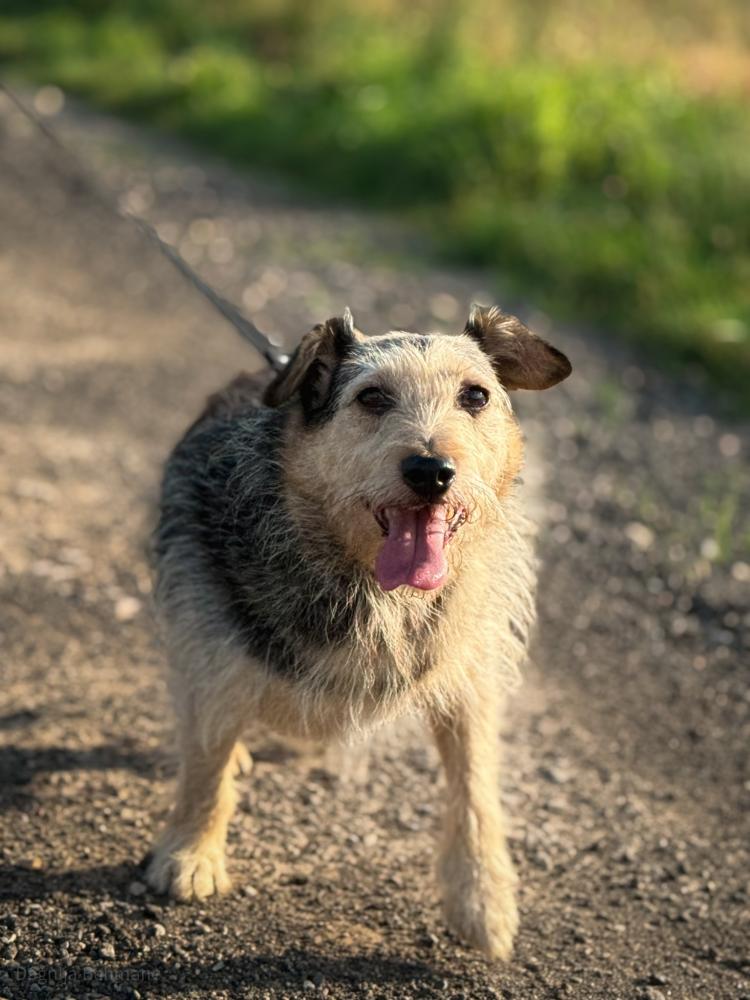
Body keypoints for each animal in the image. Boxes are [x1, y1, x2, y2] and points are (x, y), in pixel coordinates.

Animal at [145, 304, 571, 960]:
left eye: (475, 396)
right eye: (371, 397)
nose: (432, 470)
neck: (370, 586)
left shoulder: (469, 672)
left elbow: (475, 784)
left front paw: (483, 900)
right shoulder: (210, 634)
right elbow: (205, 763)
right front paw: (191, 853)